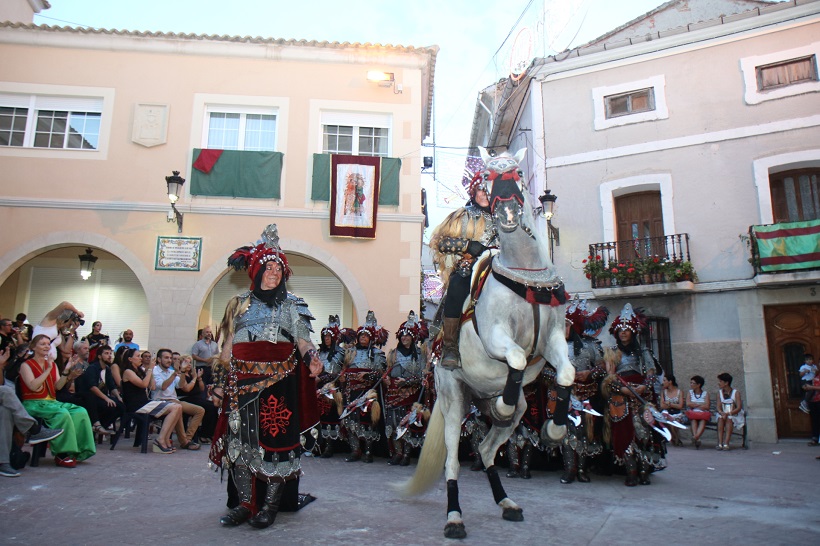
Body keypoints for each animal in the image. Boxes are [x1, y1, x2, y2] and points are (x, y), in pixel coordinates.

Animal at [400, 148, 572, 536]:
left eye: (517, 172)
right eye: (489, 179)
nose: (506, 213)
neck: (526, 277)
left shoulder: (554, 340)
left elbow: (566, 374)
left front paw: (555, 429)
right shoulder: (496, 336)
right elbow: (518, 359)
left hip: (511, 406)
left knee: (486, 450)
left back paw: (506, 501)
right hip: (453, 400)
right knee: (453, 462)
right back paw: (454, 517)